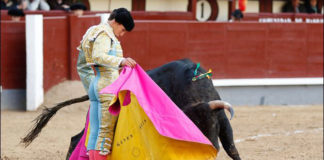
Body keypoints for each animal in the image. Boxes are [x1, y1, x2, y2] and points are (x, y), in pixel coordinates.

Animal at [22, 58, 240, 160]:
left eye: (211, 124)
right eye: (192, 128)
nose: (210, 149)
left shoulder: (224, 122)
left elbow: (232, 149)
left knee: (77, 138)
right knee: (79, 139)